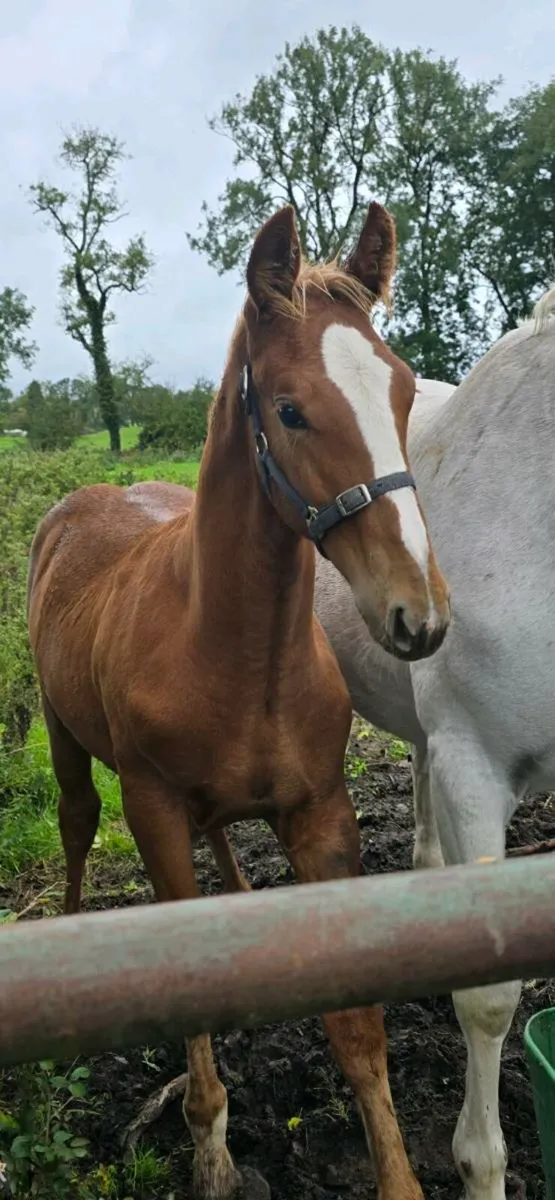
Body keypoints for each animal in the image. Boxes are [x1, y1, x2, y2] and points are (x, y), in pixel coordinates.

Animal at [27, 201, 451, 1200]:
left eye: (401, 391)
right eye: (290, 409)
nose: (417, 616)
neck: (232, 652)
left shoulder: (323, 816)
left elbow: (359, 1034)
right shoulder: (148, 809)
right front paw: (212, 1150)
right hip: (65, 738)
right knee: (73, 823)